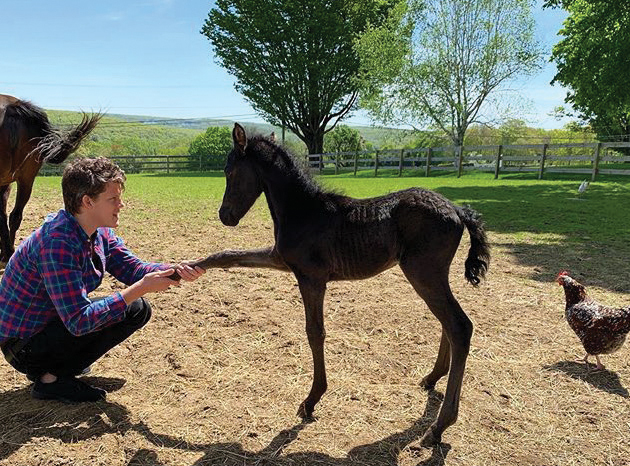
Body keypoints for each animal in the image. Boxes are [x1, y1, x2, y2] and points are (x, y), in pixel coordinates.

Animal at [185, 124, 492, 448]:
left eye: (229, 171)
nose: (225, 216)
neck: (303, 212)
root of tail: (458, 210)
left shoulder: (311, 279)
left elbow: (315, 333)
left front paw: (311, 400)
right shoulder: (280, 259)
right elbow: (228, 255)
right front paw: (187, 268)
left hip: (423, 272)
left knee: (459, 326)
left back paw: (439, 426)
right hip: (433, 275)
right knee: (448, 322)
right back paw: (432, 379)